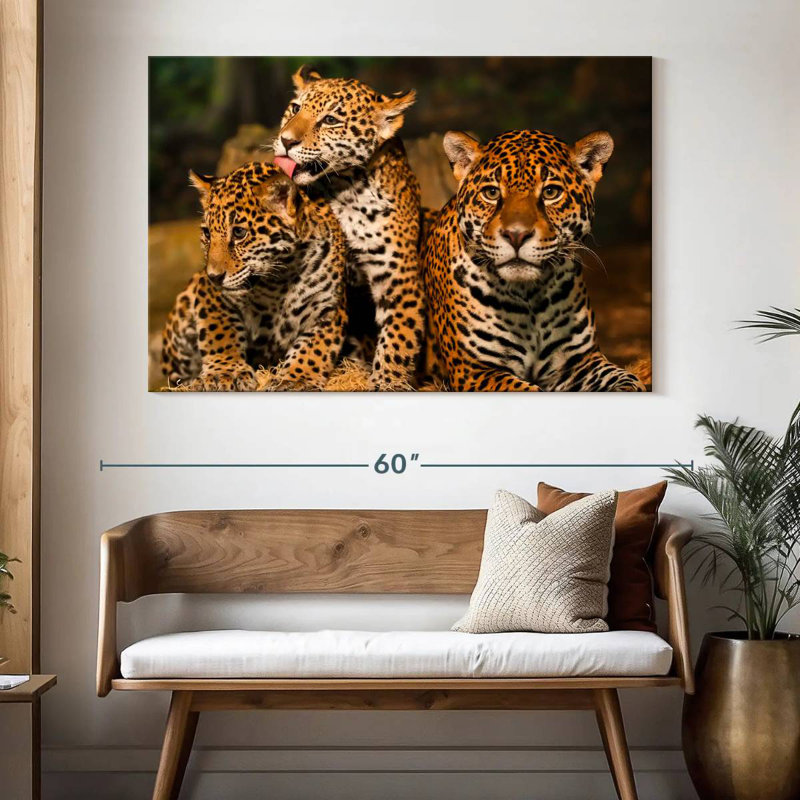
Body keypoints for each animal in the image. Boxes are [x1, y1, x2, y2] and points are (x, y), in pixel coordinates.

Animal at [161, 161, 347, 391]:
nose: (214, 276)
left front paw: (296, 379)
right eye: (207, 234)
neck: (281, 277)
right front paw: (225, 372)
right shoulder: (209, 294)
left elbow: (314, 349)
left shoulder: (329, 308)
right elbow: (220, 332)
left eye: (239, 233)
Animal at [271, 65, 425, 390]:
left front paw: (387, 382)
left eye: (330, 120)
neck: (345, 190)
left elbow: (399, 337)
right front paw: (294, 377)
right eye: (295, 108)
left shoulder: (400, 278)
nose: (286, 141)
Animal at [422, 128, 647, 392]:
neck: (529, 296)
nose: (516, 235)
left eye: (551, 193)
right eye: (491, 193)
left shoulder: (579, 361)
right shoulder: (474, 371)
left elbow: (627, 380)